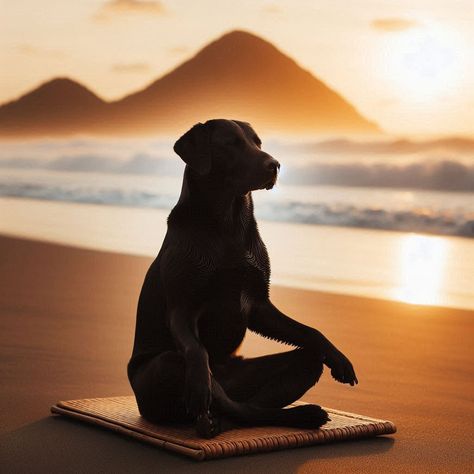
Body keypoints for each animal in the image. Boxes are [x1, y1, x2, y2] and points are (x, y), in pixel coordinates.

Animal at [128, 118, 358, 436]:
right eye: (231, 143)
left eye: (257, 142)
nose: (275, 165)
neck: (228, 222)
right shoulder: (182, 307)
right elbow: (197, 351)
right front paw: (199, 386)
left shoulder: (258, 304)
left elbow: (312, 332)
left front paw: (338, 356)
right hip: (165, 364)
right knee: (218, 394)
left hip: (292, 366)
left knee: (251, 405)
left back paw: (299, 415)